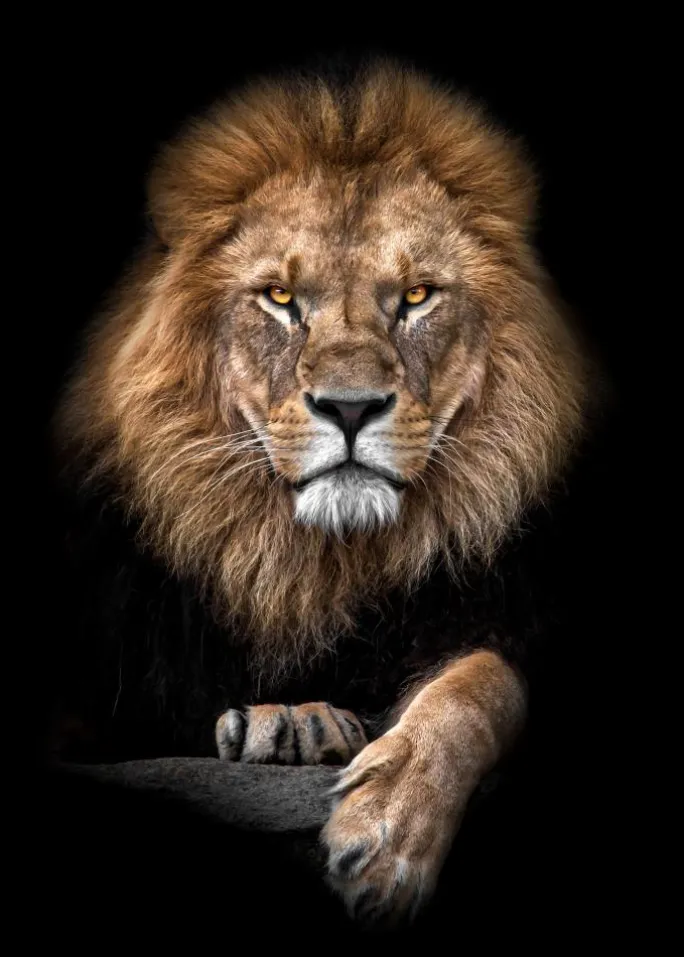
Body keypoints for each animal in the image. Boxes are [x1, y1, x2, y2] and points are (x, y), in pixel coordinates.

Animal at [55, 61, 589, 924]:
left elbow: (482, 684)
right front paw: (291, 723)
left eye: (416, 297)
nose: (349, 406)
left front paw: (390, 831)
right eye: (280, 299)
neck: (316, 564)